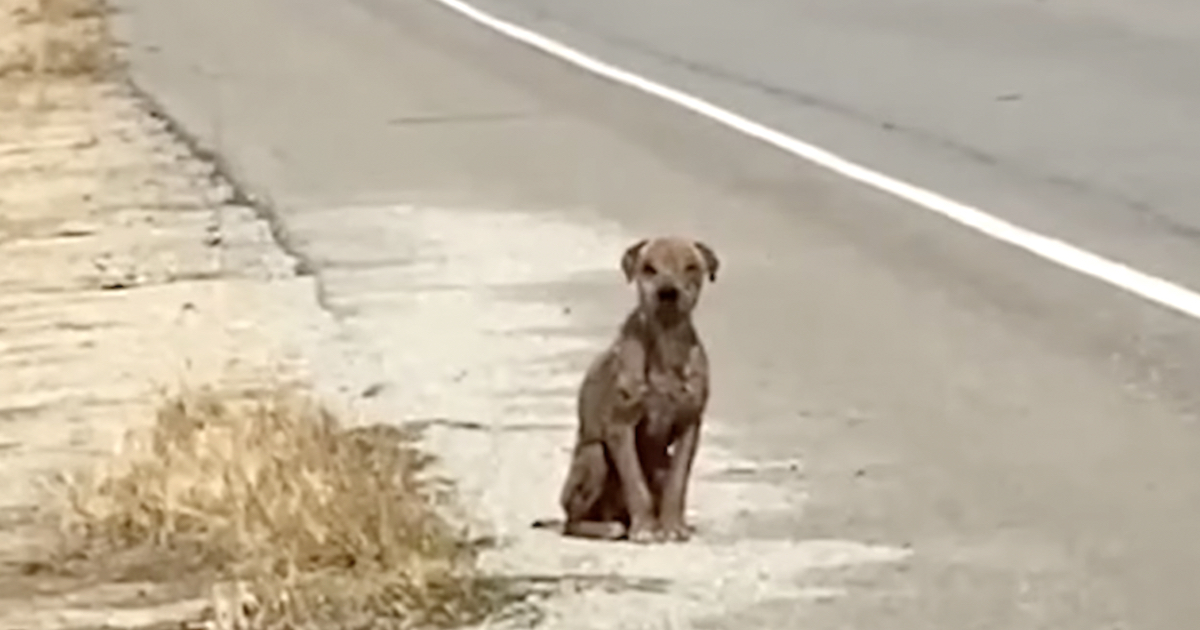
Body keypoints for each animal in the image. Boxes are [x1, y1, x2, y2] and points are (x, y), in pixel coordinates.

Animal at [537, 235, 715, 540]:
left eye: (691, 267)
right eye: (648, 268)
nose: (667, 292)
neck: (666, 346)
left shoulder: (689, 425)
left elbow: (678, 483)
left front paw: (673, 526)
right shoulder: (621, 426)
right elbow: (635, 484)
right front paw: (644, 528)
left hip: (659, 462)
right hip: (594, 456)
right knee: (573, 521)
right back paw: (609, 527)